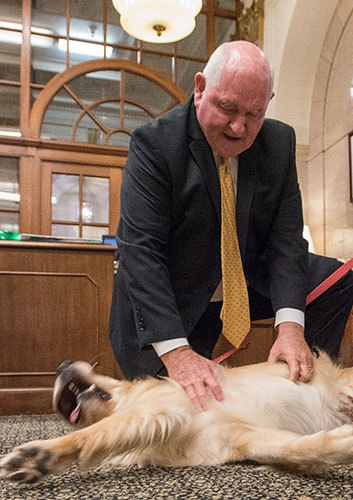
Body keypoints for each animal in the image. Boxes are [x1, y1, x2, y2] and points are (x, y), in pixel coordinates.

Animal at [0, 352, 352, 484]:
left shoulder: (153, 409)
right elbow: (301, 449)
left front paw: (38, 456)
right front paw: (343, 443)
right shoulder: (238, 438)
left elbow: (88, 434)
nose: (60, 366)